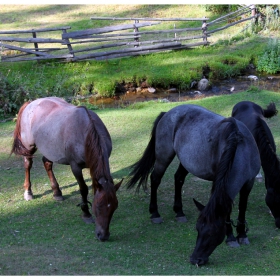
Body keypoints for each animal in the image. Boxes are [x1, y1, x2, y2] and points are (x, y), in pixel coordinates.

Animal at [10, 96, 122, 241]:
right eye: (98, 206)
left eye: (114, 207)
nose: (103, 236)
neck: (85, 132)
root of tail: (31, 103)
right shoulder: (75, 167)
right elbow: (83, 189)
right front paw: (86, 213)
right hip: (29, 147)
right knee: (27, 164)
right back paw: (28, 192)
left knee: (47, 163)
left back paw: (57, 192)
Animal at [126, 104, 260, 264]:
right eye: (197, 229)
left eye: (212, 233)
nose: (195, 259)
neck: (241, 148)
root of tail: (168, 113)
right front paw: (231, 238)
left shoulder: (248, 183)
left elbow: (242, 208)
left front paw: (242, 235)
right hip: (164, 157)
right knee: (155, 179)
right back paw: (155, 213)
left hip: (186, 162)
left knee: (178, 178)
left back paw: (179, 212)